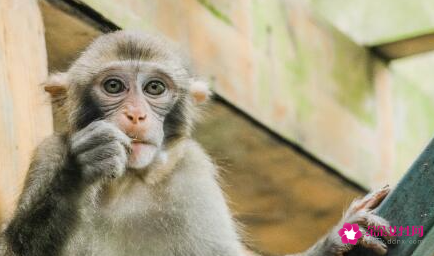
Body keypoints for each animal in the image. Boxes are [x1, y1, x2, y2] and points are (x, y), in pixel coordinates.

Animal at [0, 30, 394, 256]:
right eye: (113, 86)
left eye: (154, 88)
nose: (136, 115)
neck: (125, 183)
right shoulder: (50, 153)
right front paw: (82, 168)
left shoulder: (191, 174)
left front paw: (337, 239)